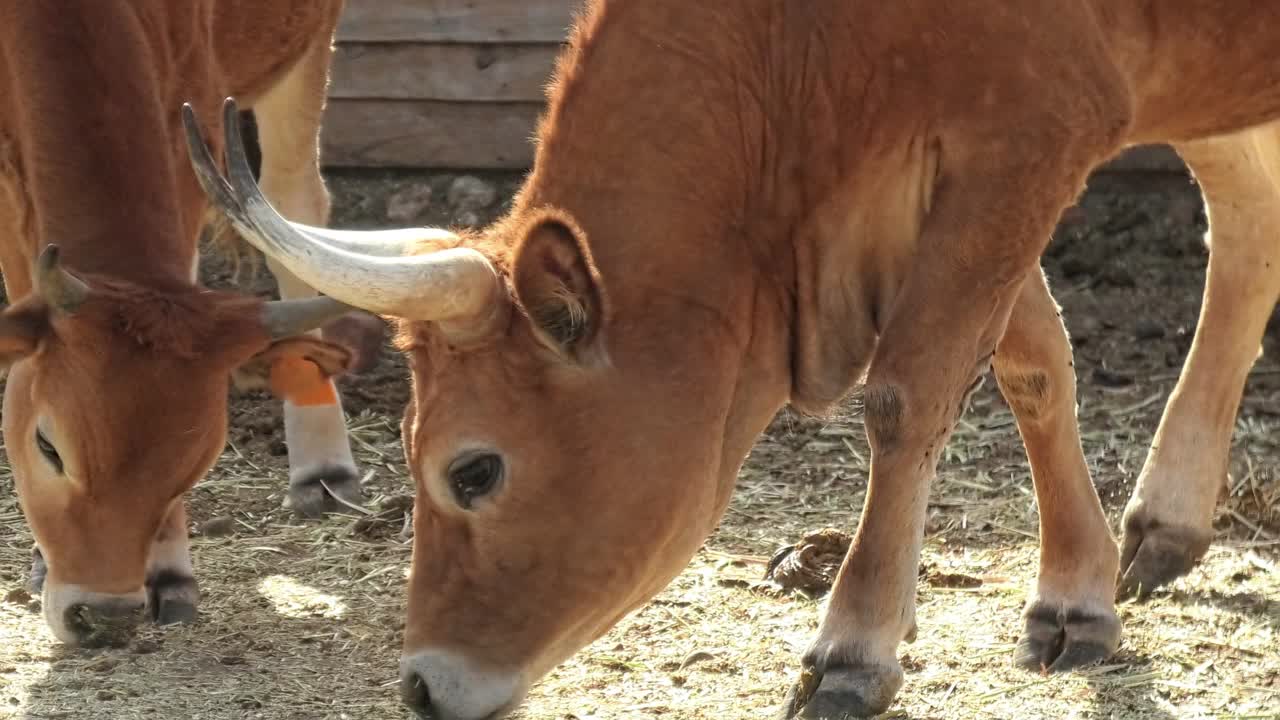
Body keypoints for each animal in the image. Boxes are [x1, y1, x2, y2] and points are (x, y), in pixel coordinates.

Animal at [0, 1, 366, 645]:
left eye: (190, 468)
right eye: (47, 446)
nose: (103, 617)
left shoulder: (188, 127)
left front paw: (169, 571)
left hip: (305, 49)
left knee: (293, 206)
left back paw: (322, 467)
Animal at [185, 1, 1280, 717]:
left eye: (476, 469)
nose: (420, 685)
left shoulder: (1027, 136)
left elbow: (909, 391)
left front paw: (854, 648)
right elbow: (1030, 360)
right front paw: (1075, 594)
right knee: (1245, 224)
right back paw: (1167, 522)